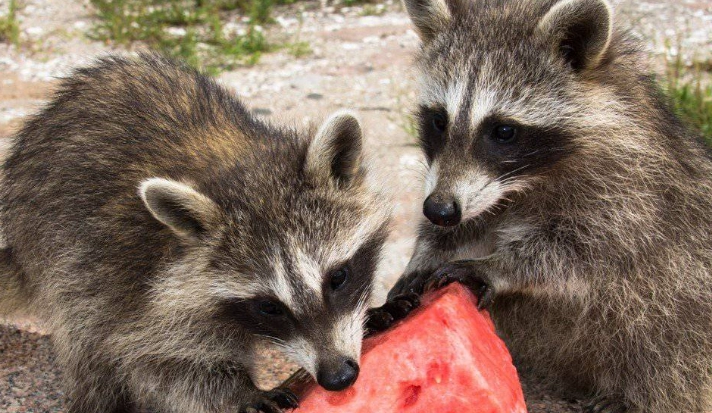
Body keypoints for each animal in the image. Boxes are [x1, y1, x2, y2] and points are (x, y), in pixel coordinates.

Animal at [0, 54, 413, 413]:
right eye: (269, 307)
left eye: (338, 277)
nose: (338, 377)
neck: (241, 165)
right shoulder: (145, 293)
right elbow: (159, 364)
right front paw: (241, 393)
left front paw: (371, 311)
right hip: (58, 255)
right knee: (88, 348)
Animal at [389, 0, 712, 412]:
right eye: (438, 121)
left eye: (503, 131)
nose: (439, 211)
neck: (524, 183)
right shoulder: (477, 192)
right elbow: (467, 223)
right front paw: (425, 251)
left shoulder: (631, 194)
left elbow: (579, 253)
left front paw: (498, 265)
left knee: (667, 341)